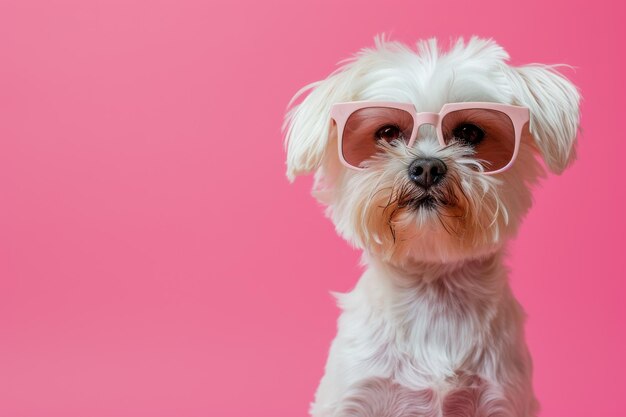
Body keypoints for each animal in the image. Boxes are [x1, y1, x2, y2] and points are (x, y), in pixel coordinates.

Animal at [282, 36, 576, 416]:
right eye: (387, 132)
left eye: (469, 132)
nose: (426, 167)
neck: (434, 291)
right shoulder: (353, 395)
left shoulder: (502, 398)